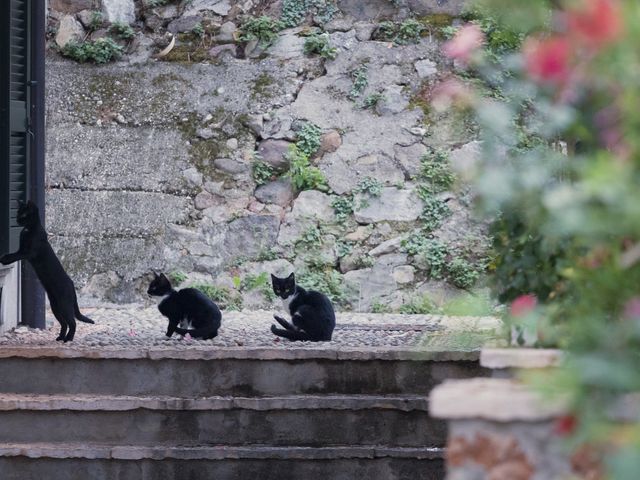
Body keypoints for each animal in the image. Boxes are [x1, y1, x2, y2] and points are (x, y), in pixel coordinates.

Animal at [0, 199, 94, 342]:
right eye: (18, 213)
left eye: (23, 214)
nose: (16, 219)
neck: (29, 229)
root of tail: (72, 284)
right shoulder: (21, 249)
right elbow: (13, 254)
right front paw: (4, 257)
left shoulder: (28, 252)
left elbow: (14, 256)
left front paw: (4, 259)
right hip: (56, 306)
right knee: (64, 323)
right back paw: (60, 337)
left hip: (64, 305)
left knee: (72, 322)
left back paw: (68, 339)